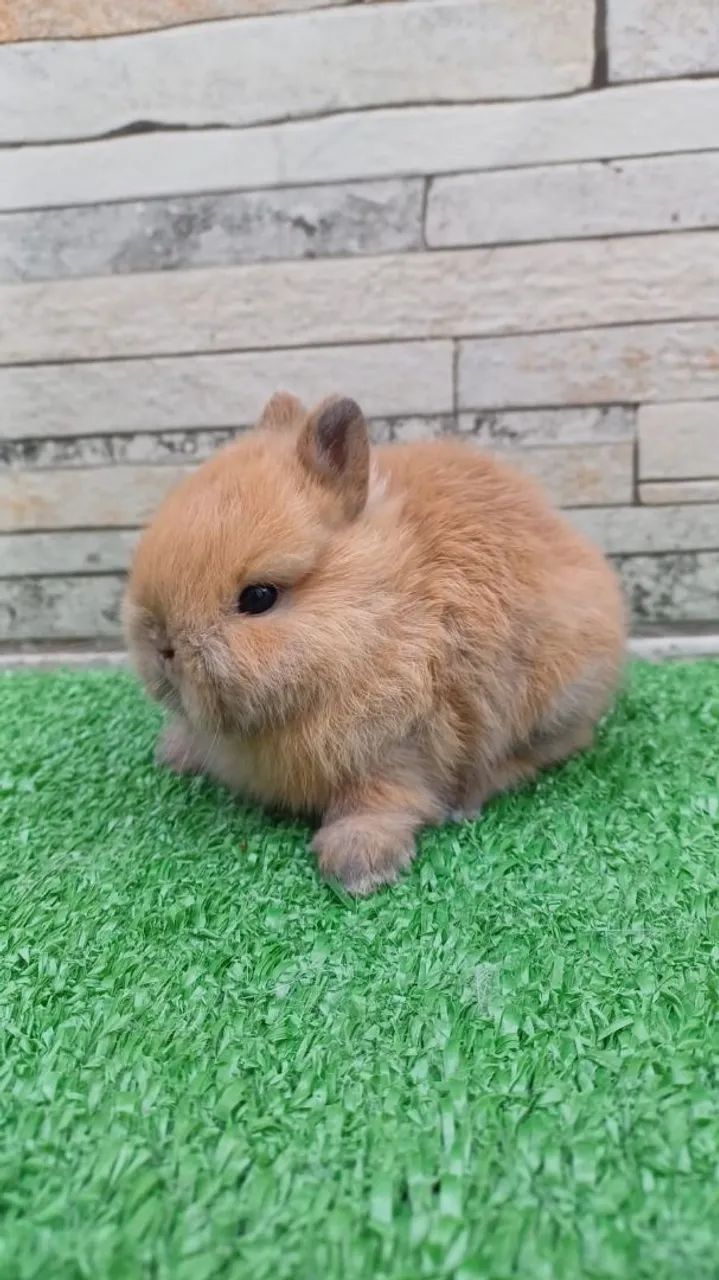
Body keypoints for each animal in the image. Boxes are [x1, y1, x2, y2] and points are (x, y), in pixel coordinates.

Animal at [124, 391, 625, 895]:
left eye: (259, 597)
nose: (162, 646)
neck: (376, 616)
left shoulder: (400, 746)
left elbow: (381, 800)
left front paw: (357, 866)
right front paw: (175, 752)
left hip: (556, 699)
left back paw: (468, 801)